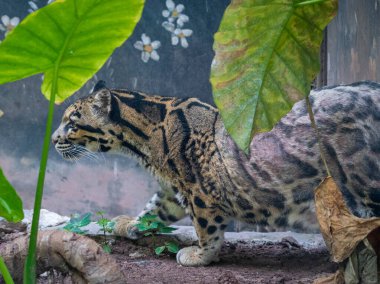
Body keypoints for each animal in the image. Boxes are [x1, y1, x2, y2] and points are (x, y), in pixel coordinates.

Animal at [52, 80, 380, 266]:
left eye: (71, 123)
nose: (54, 140)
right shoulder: (174, 189)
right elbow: (154, 209)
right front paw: (131, 224)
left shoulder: (199, 190)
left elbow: (206, 228)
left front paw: (201, 256)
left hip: (365, 183)